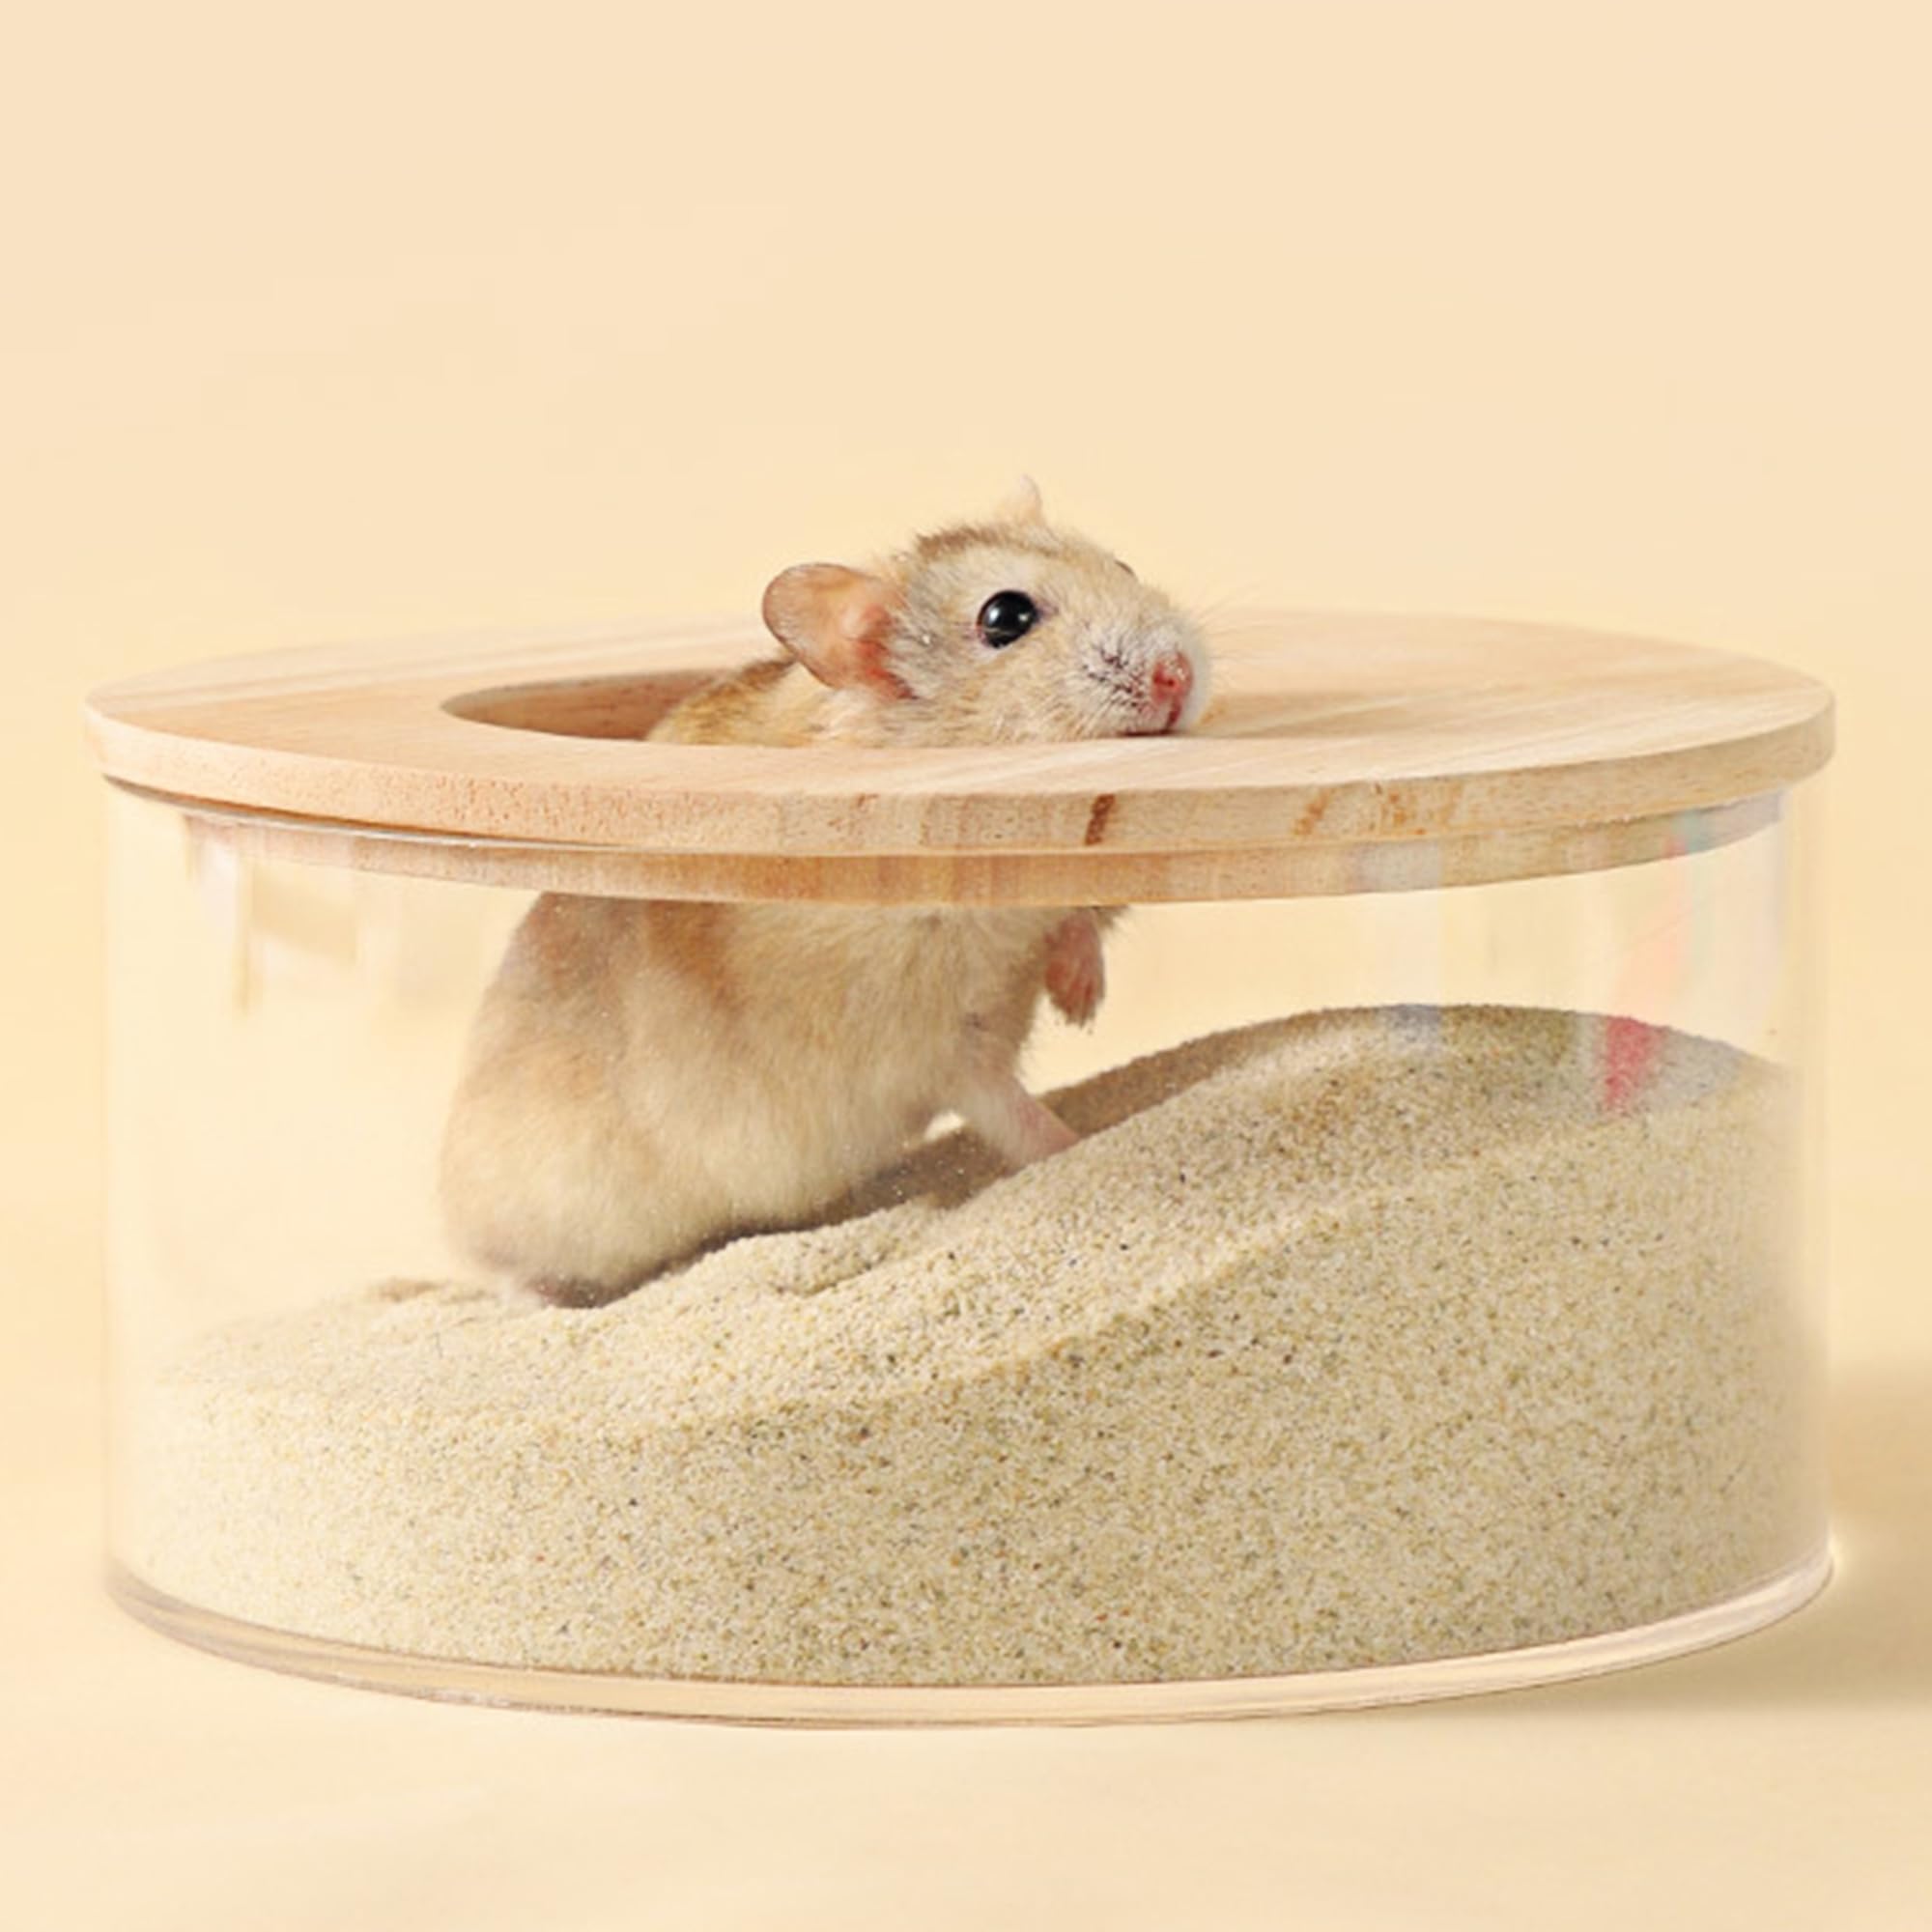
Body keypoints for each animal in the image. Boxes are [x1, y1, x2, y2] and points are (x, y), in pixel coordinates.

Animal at [439, 482, 1211, 1303]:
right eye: (1006, 618)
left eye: (1122, 566)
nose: (1176, 675)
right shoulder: (943, 1044)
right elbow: (1014, 1117)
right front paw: (1087, 1140)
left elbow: (1075, 922)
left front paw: (1080, 1005)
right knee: (504, 1274)